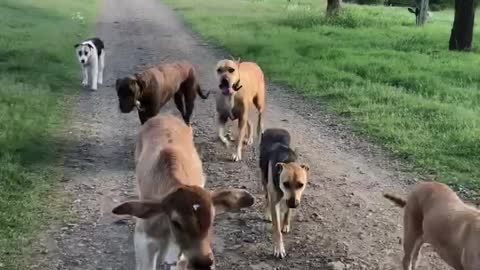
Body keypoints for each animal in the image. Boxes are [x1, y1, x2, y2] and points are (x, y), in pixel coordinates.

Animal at [260, 127, 310, 258]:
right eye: (285, 184)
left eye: (301, 185)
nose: (293, 204)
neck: (287, 160)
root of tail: (274, 129)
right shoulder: (276, 201)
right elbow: (277, 228)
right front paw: (278, 248)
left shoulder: (294, 198)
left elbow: (288, 212)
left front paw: (286, 224)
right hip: (264, 179)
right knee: (267, 197)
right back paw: (267, 212)